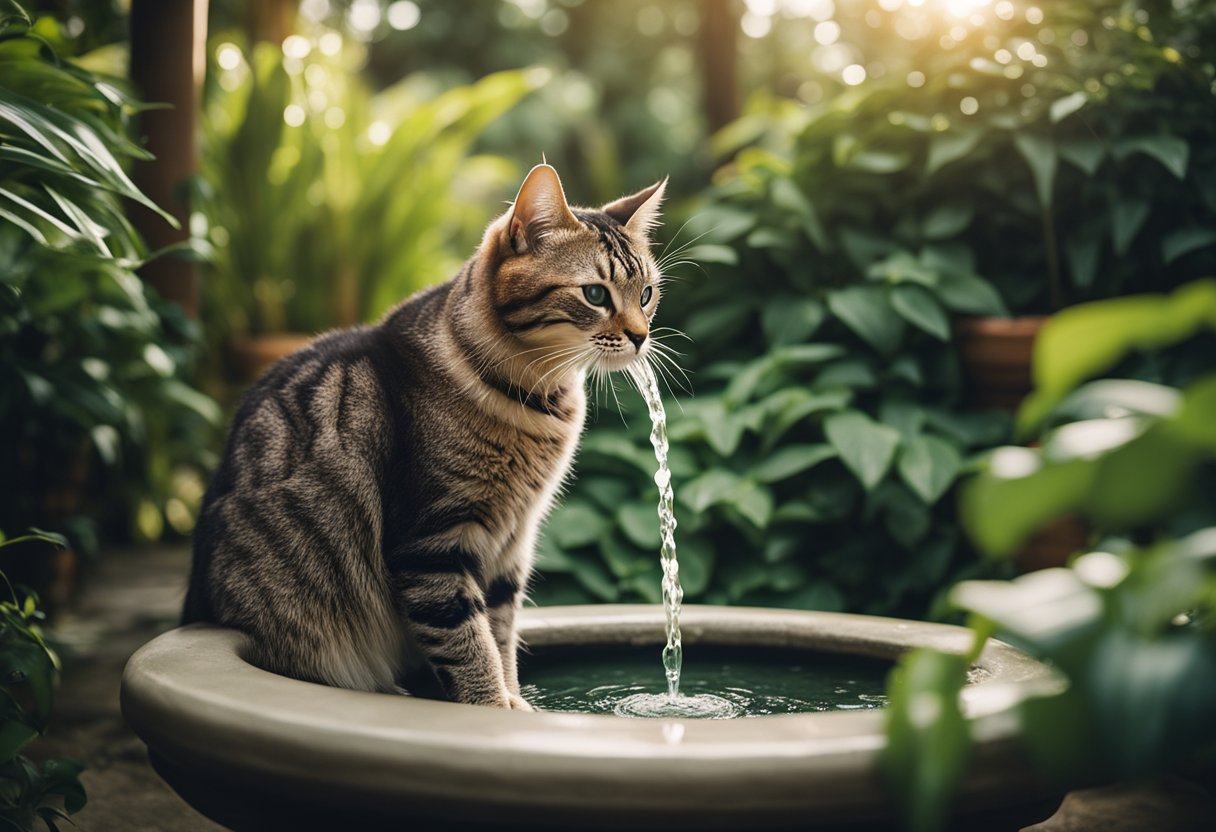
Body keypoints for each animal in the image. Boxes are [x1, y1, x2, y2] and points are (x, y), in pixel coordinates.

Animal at [184, 167, 671, 710]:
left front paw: (517, 704)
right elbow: (467, 641)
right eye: (595, 294)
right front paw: (494, 708)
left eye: (646, 293)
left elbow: (500, 632)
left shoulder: (513, 542)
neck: (539, 399)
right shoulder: (432, 542)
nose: (641, 336)